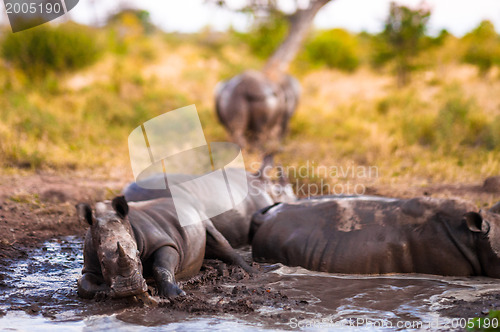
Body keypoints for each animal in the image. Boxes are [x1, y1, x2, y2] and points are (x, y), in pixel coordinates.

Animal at [77, 196, 258, 300]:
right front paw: (104, 291)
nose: (129, 289)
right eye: (103, 263)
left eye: (138, 255)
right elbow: (84, 283)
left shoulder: (164, 242)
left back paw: (251, 272)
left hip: (201, 216)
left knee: (218, 240)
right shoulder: (90, 262)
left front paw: (177, 296)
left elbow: (161, 266)